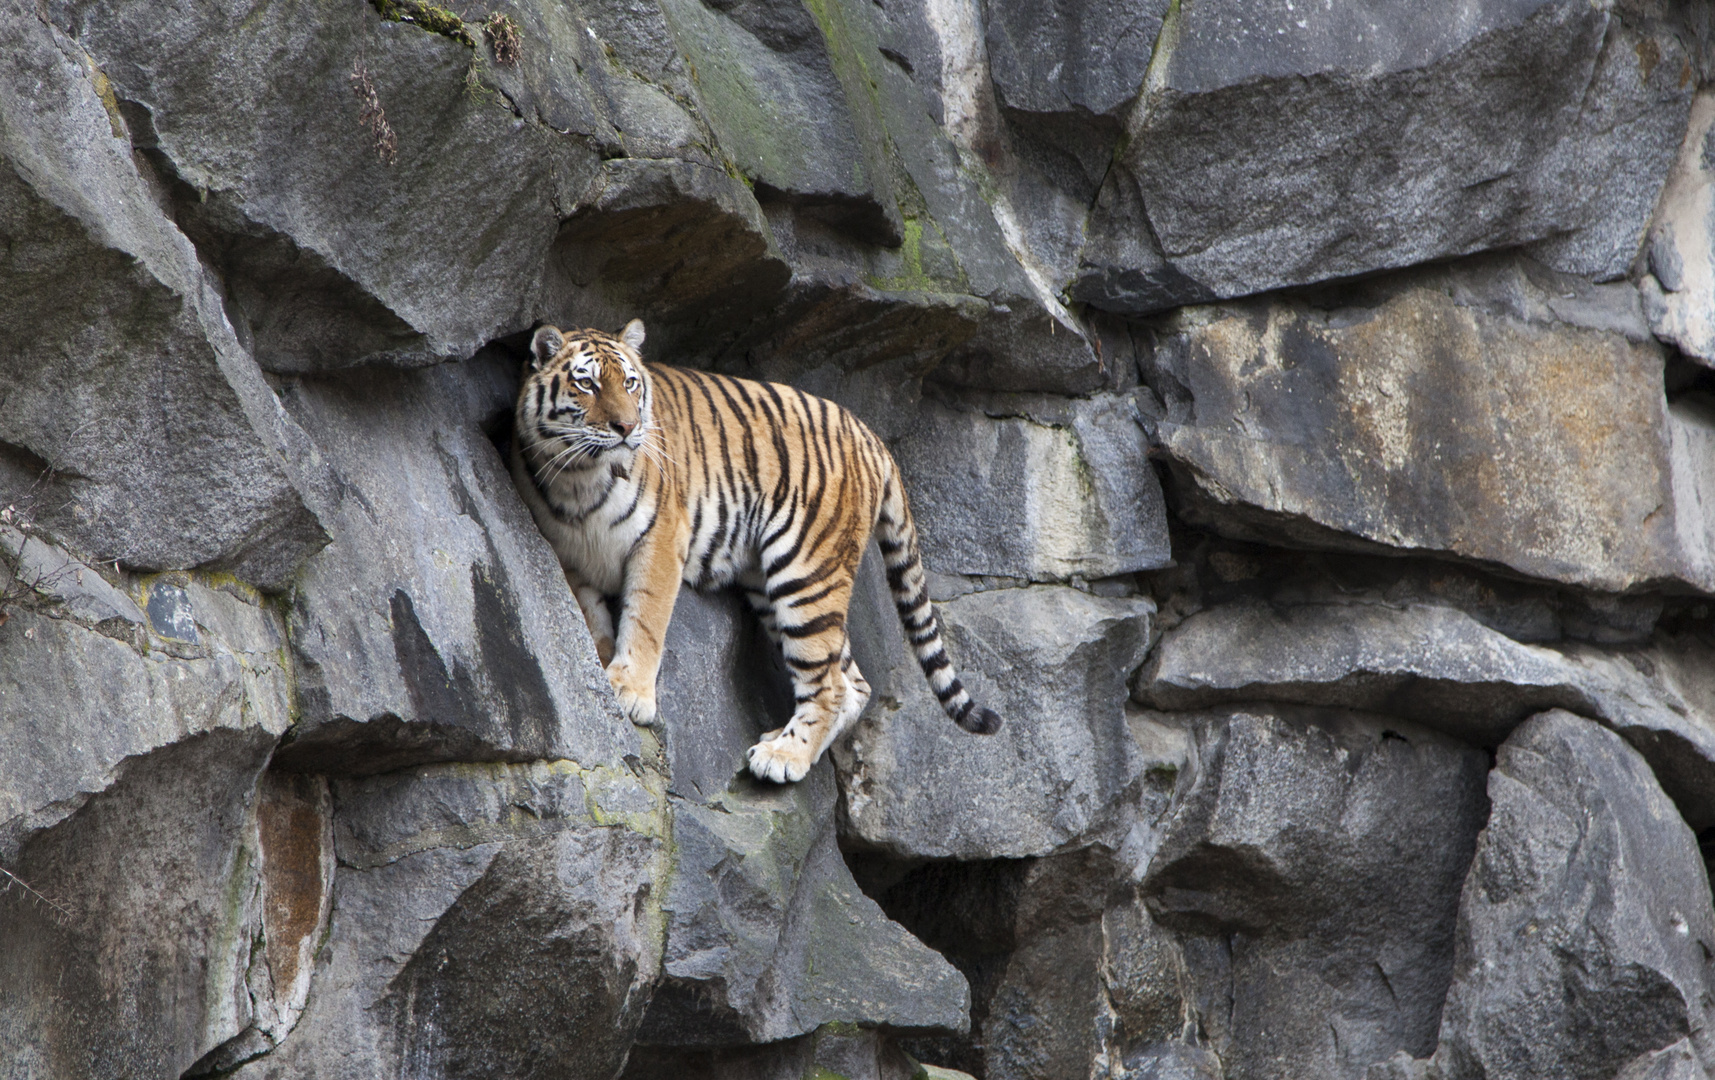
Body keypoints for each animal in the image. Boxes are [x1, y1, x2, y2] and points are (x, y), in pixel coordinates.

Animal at [500, 317, 1001, 781]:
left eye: (629, 383)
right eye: (587, 384)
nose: (627, 427)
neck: (580, 477)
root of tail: (869, 434)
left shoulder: (660, 540)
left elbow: (644, 620)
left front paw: (630, 690)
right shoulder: (567, 554)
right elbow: (593, 619)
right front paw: (607, 669)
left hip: (806, 573)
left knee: (831, 685)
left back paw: (783, 757)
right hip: (774, 584)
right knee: (851, 681)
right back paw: (783, 741)